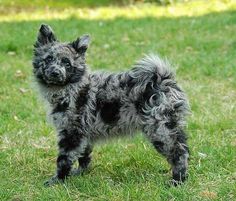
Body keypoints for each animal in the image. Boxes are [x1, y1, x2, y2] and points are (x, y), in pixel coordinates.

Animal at [32, 24, 190, 186]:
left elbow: (64, 159)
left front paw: (58, 179)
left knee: (179, 153)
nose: (55, 72)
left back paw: (177, 181)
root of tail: (163, 80)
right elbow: (84, 155)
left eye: (67, 63)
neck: (72, 87)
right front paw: (81, 173)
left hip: (161, 129)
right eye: (48, 59)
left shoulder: (71, 133)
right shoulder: (83, 133)